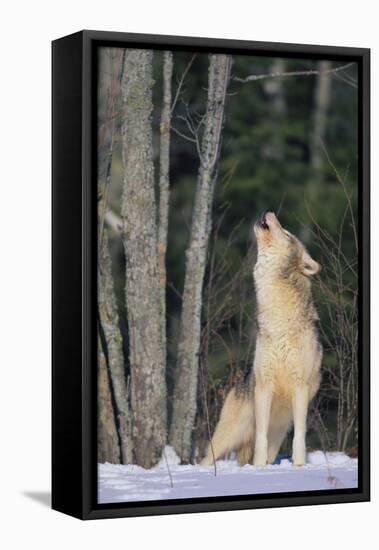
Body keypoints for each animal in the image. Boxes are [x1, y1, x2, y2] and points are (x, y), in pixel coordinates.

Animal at [203, 211, 322, 470]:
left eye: (286, 233)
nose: (269, 212)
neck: (279, 324)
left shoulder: (300, 388)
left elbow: (300, 436)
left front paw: (299, 467)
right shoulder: (264, 387)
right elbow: (260, 437)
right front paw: (258, 470)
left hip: (280, 430)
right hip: (229, 433)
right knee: (207, 457)